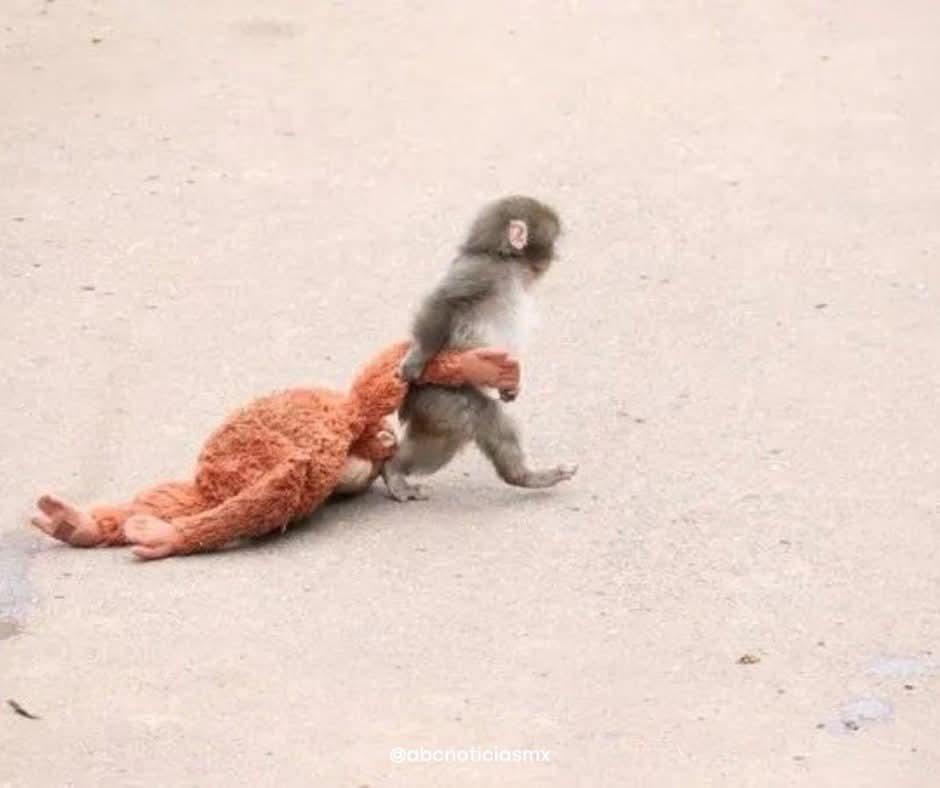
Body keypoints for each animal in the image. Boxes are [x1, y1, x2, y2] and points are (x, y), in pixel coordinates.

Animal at [382, 195, 578, 501]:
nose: (556, 256)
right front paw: (417, 358)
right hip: (438, 395)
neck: (504, 260)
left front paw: (511, 387)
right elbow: (444, 301)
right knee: (478, 416)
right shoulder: (482, 272)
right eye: (554, 240)